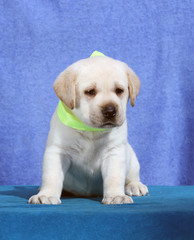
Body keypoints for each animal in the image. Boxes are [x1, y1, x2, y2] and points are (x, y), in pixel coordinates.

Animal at [28, 55, 148, 205]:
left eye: (119, 90)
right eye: (90, 92)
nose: (110, 110)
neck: (91, 130)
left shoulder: (114, 152)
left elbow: (114, 177)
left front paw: (115, 196)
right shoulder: (57, 151)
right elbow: (52, 176)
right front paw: (47, 194)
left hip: (131, 159)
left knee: (132, 176)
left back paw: (135, 185)